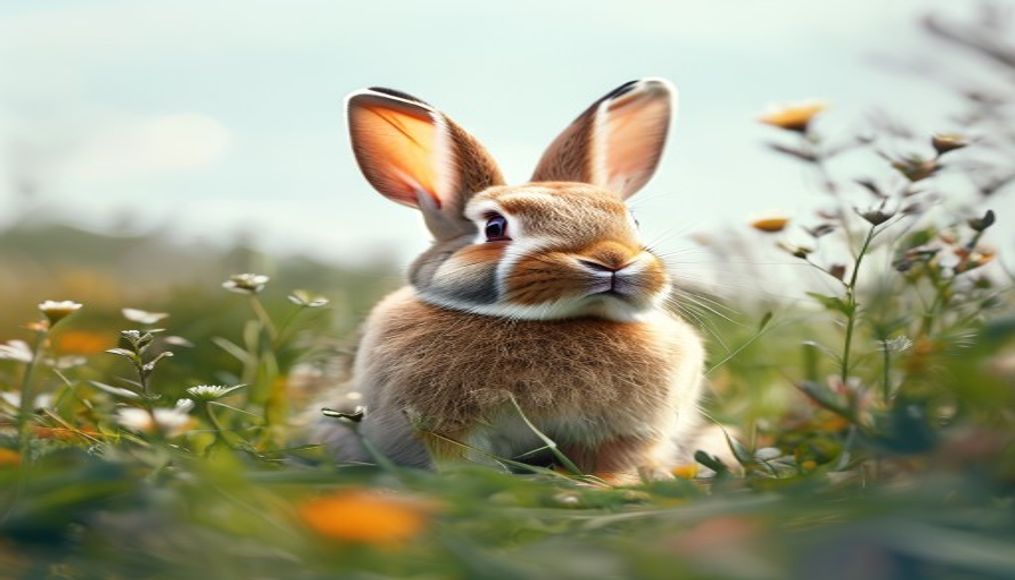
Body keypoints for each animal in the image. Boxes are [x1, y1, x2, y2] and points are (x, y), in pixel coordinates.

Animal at [309, 79, 709, 485]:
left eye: (634, 222)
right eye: (494, 228)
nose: (611, 260)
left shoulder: (618, 433)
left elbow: (608, 461)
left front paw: (601, 484)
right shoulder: (443, 426)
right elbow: (456, 457)